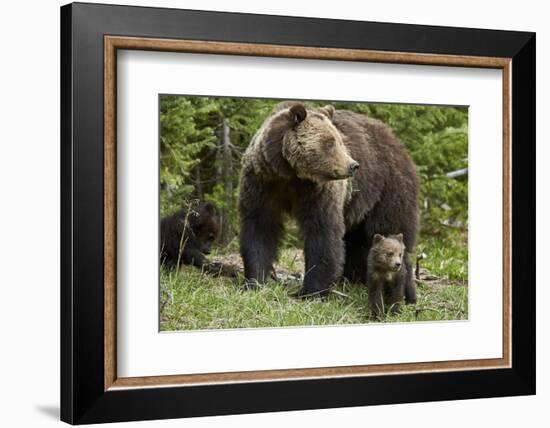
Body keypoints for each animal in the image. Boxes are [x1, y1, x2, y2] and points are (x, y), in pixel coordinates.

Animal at [239, 101, 420, 300]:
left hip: (388, 188)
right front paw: (254, 281)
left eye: (340, 140)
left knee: (389, 229)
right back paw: (354, 277)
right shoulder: (262, 183)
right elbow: (259, 227)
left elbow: (323, 233)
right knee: (357, 239)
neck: (291, 174)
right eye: (330, 142)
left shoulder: (319, 192)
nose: (353, 165)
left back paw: (404, 292)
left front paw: (310, 292)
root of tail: (397, 142)